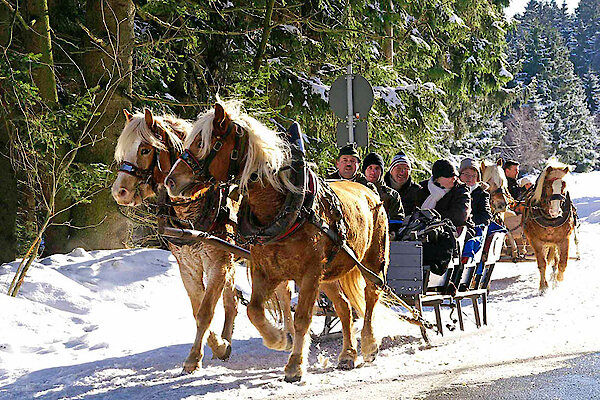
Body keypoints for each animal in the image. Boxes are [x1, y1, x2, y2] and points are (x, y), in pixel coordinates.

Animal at [111, 108, 294, 372]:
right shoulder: (188, 266)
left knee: (284, 292)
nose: (119, 192)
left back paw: (289, 335)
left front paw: (195, 357)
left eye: (145, 149)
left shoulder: (216, 262)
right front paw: (219, 346)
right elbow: (198, 309)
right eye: (124, 149)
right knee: (232, 303)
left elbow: (206, 312)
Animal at [164, 100, 390, 382]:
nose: (171, 181)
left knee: (371, 296)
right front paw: (279, 339)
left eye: (204, 143)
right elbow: (254, 311)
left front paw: (295, 364)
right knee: (345, 307)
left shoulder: (310, 272)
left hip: (373, 262)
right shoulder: (266, 270)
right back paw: (348, 354)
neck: (281, 207)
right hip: (330, 274)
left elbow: (302, 318)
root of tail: (368, 189)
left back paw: (369, 344)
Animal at [520, 160, 576, 294]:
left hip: (554, 243)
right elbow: (542, 264)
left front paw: (558, 280)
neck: (550, 220)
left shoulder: (564, 239)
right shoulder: (536, 241)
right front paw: (543, 287)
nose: (555, 212)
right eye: (546, 186)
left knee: (556, 259)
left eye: (564, 186)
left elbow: (562, 261)